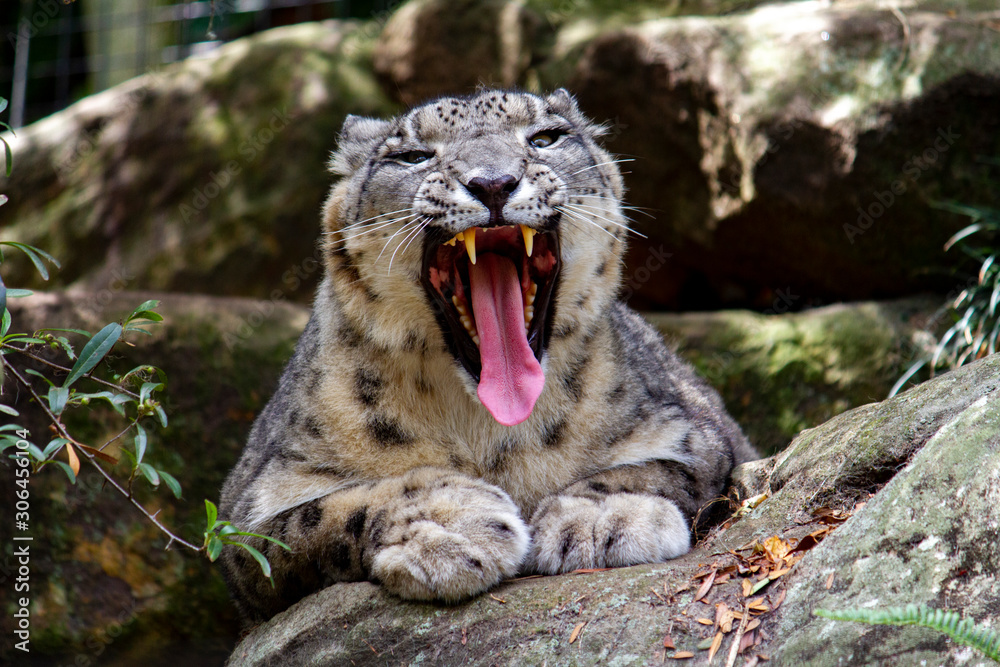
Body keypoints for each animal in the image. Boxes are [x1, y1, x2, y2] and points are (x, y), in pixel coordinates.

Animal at [218, 88, 757, 625]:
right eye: (413, 155)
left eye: (545, 137)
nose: (494, 183)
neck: (487, 430)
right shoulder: (253, 503)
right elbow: (327, 512)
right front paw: (451, 526)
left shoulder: (697, 428)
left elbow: (666, 467)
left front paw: (601, 518)